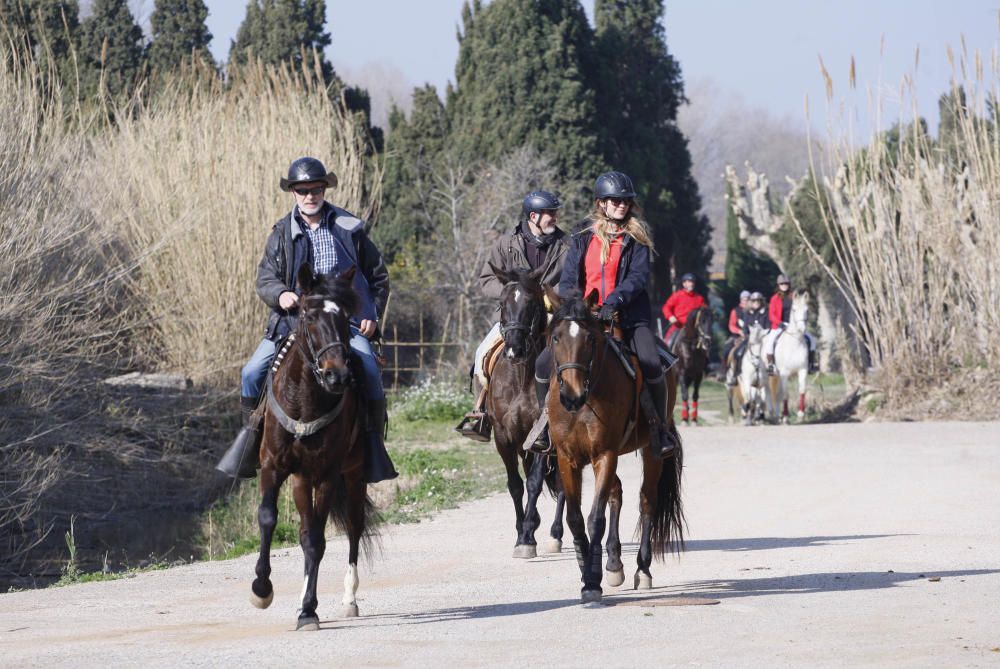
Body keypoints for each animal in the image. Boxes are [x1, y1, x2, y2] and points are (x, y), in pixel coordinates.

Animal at [248, 264, 376, 628]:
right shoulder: (273, 467)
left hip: (354, 475)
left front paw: (308, 608)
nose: (338, 376)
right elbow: (268, 518)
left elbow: (319, 540)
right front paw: (261, 589)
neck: (304, 402)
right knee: (306, 531)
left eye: (346, 316)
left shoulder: (327, 474)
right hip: (300, 479)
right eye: (308, 315)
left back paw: (347, 600)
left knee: (352, 526)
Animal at [488, 266, 568, 560]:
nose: (514, 349)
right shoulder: (504, 437)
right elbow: (515, 485)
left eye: (532, 304)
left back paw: (555, 535)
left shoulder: (542, 437)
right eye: (502, 303)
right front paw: (522, 531)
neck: (521, 378)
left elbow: (534, 482)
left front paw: (527, 537)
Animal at [544, 290, 684, 604]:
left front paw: (591, 582)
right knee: (616, 493)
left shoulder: (604, 455)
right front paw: (587, 568)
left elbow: (596, 518)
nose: (571, 395)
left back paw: (642, 569)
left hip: (652, 451)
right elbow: (575, 518)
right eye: (556, 337)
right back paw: (614, 563)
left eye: (589, 338)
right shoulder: (567, 459)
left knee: (647, 501)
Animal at [764, 292, 812, 422]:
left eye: (807, 310)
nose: (802, 329)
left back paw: (776, 414)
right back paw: (772, 413)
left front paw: (800, 414)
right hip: (768, 374)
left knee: (777, 393)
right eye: (794, 310)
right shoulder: (784, 373)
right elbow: (786, 394)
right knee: (768, 391)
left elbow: (802, 389)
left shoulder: (802, 370)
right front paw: (785, 416)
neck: (795, 343)